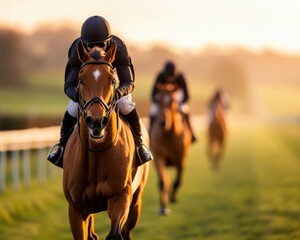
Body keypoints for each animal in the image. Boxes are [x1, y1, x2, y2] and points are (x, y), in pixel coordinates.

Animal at [63, 41, 149, 240]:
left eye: (111, 80)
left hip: (136, 201)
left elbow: (116, 233)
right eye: (81, 79)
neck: (96, 153)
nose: (96, 121)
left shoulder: (121, 197)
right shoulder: (75, 209)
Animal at [149, 82, 192, 216]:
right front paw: (163, 207)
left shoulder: (181, 160)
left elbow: (178, 181)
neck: (168, 135)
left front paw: (173, 198)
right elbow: (163, 182)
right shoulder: (159, 158)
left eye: (172, 100)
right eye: (158, 99)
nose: (163, 122)